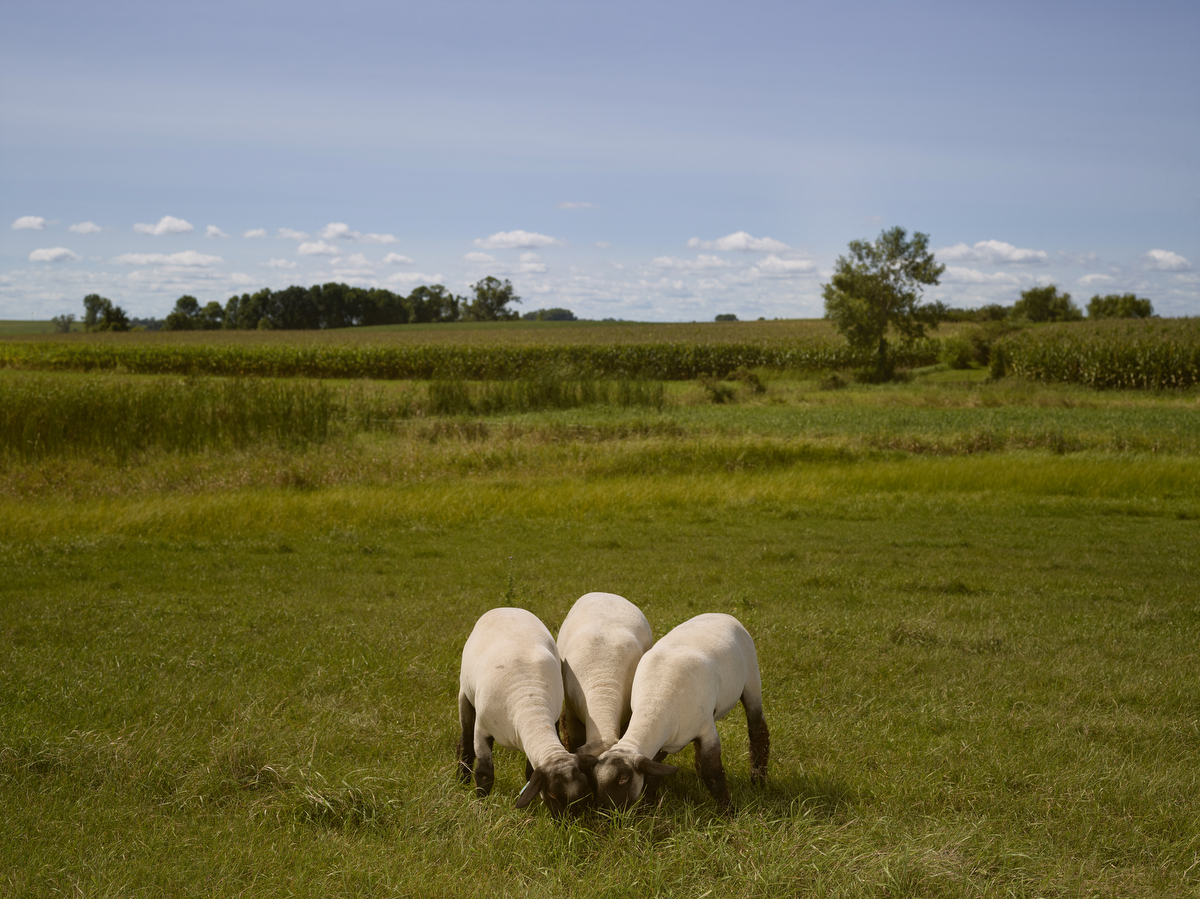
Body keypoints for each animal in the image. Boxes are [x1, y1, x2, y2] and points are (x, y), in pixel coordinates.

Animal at [453, 607, 595, 816]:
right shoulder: (482, 729)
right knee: (465, 744)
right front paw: (481, 805)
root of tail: (506, 608)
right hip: (465, 694)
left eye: (584, 793)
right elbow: (485, 773)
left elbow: (530, 773)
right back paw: (461, 783)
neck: (530, 704)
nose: (571, 822)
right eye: (553, 795)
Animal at [590, 614, 768, 811]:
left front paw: (727, 810)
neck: (656, 704)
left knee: (757, 730)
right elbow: (654, 774)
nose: (606, 813)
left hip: (752, 681)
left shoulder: (707, 732)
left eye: (623, 779)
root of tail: (722, 614)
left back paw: (759, 780)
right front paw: (648, 808)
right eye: (594, 779)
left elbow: (712, 773)